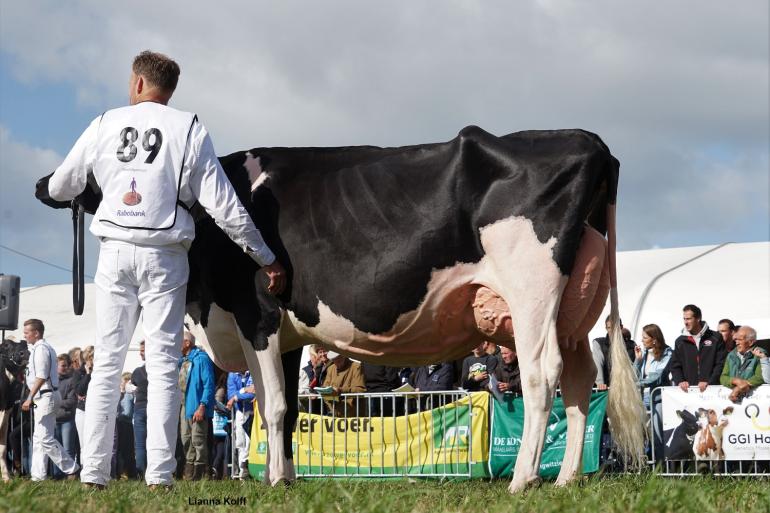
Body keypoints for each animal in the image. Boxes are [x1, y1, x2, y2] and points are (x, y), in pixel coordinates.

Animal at [36, 126, 640, 490]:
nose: (45, 183)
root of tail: (588, 140)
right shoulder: (280, 335)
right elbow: (279, 410)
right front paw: (284, 480)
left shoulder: (256, 314)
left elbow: (274, 406)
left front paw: (277, 480)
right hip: (573, 310)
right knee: (581, 382)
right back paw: (566, 479)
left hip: (532, 290)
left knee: (542, 376)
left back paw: (523, 480)